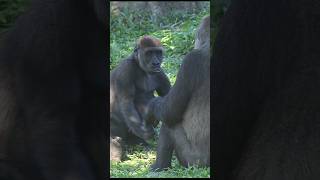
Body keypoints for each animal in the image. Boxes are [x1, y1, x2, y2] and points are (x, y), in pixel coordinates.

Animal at [144, 15, 210, 170]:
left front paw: (151, 106)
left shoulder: (190, 60)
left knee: (169, 125)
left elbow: (169, 112)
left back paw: (159, 166)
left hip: (194, 162)